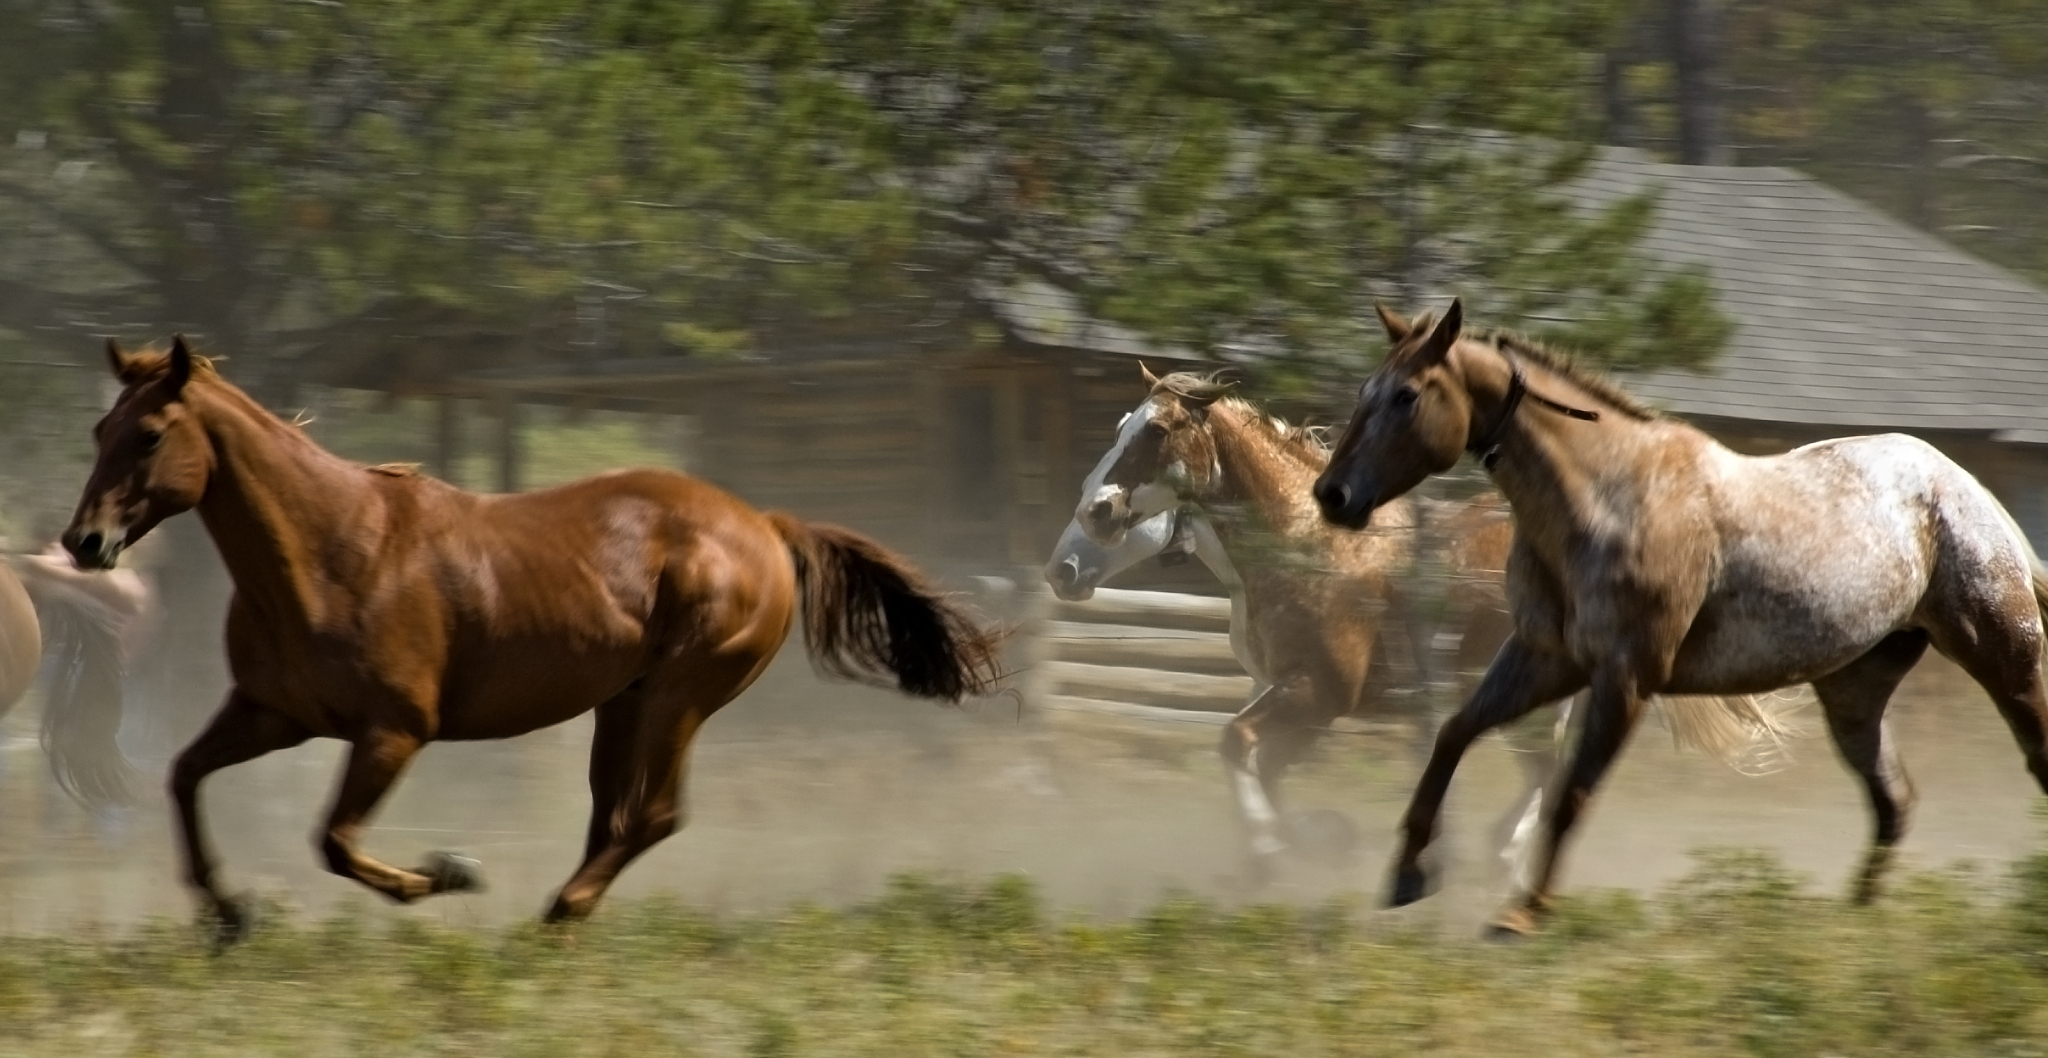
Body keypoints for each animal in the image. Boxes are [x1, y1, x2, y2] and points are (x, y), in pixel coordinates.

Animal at [61, 336, 1006, 944]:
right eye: (99, 431)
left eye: (149, 434)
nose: (84, 544)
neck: (332, 552)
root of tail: (765, 526)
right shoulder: (272, 714)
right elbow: (185, 777)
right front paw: (226, 913)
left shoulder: (392, 731)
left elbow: (335, 841)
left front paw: (450, 872)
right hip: (622, 704)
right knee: (614, 817)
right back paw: (562, 916)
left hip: (680, 697)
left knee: (654, 815)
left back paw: (554, 916)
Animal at [1313, 299, 2048, 936]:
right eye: (1366, 390)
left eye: (1406, 396)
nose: (1332, 494)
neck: (1604, 502)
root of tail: (1968, 491)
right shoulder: (1545, 658)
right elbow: (1454, 734)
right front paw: (1408, 876)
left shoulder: (1625, 677)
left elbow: (1571, 793)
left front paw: (1521, 915)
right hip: (1855, 692)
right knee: (1894, 800)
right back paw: (1855, 924)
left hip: (2004, 657)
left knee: (2029, 759)